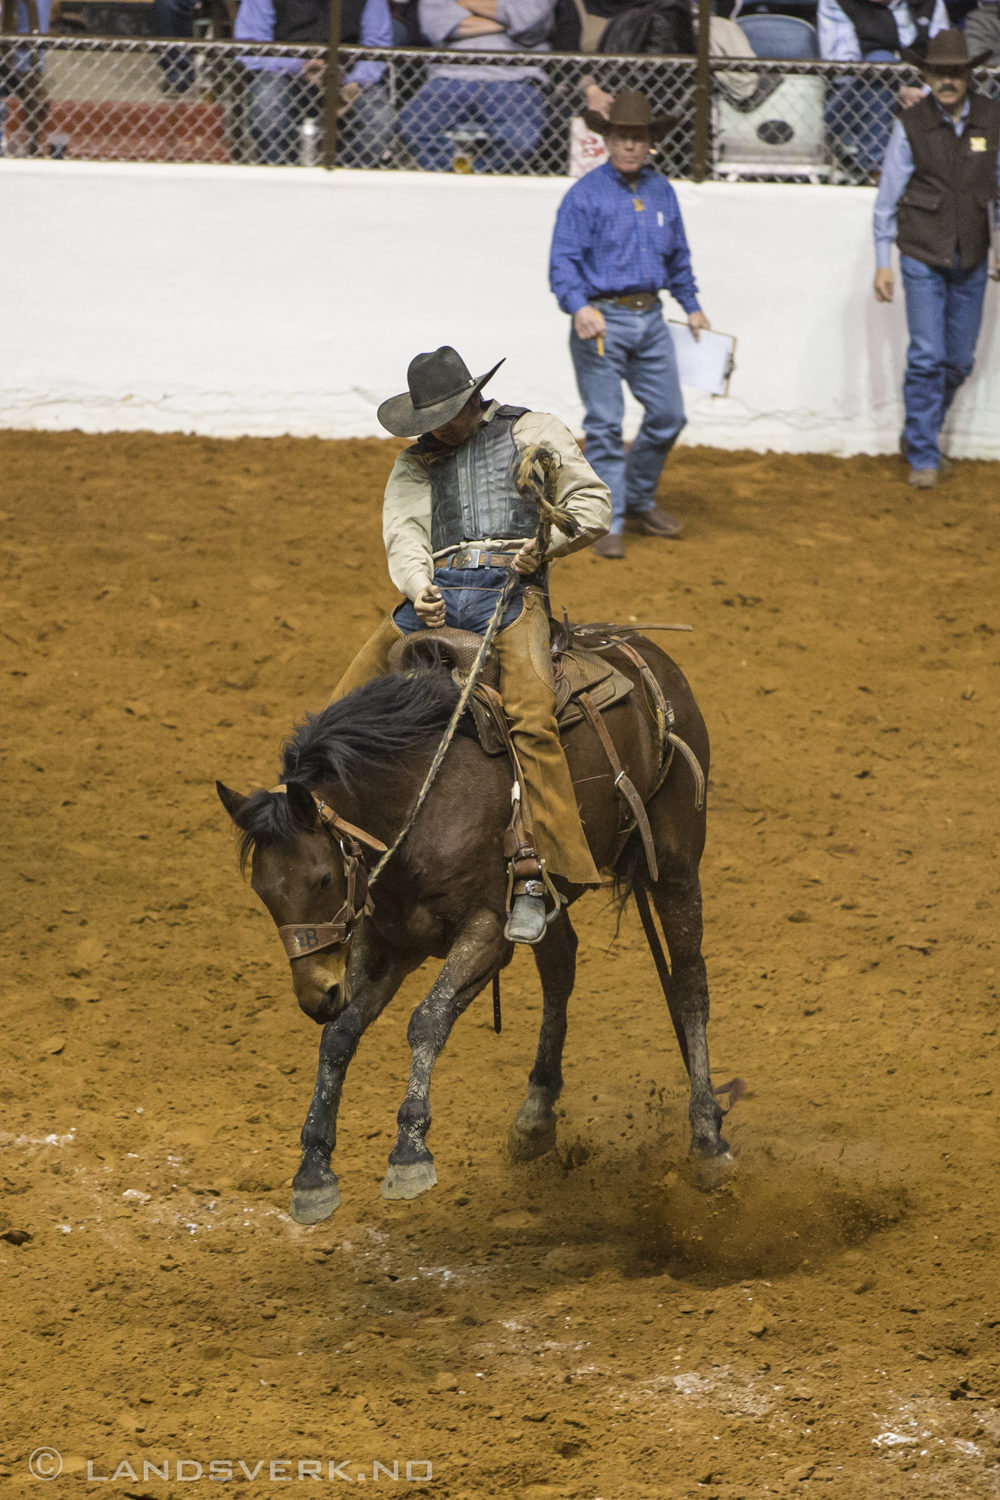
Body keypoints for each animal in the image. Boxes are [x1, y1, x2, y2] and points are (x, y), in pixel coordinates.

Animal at [217, 627, 728, 1224]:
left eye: (322, 878)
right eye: (262, 890)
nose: (314, 995)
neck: (420, 802)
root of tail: (642, 649)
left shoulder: (484, 930)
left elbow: (427, 1019)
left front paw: (409, 1154)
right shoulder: (389, 937)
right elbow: (340, 1035)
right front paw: (313, 1172)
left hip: (675, 863)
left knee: (689, 982)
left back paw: (708, 1138)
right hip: (551, 895)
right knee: (561, 969)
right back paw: (535, 1117)